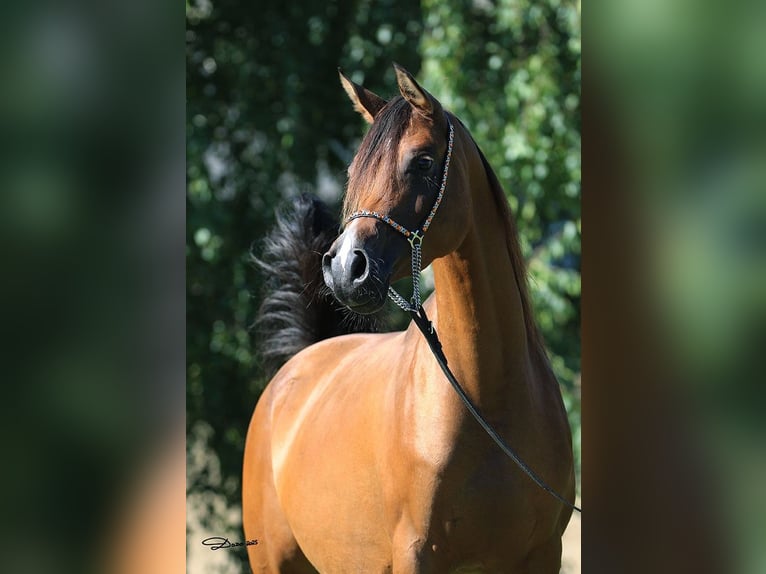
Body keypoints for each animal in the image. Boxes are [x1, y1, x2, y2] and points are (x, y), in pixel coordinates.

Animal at [243, 63, 575, 573]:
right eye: (354, 170)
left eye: (422, 162)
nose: (344, 269)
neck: (489, 401)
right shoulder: (417, 553)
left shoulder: (541, 555)